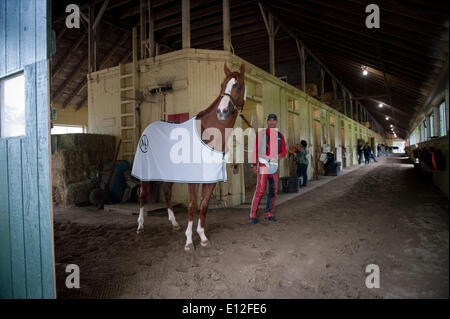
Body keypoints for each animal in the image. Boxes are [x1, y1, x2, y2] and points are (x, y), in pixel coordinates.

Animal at [132, 63, 248, 252]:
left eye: (238, 86)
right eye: (222, 85)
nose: (222, 111)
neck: (208, 134)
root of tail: (148, 128)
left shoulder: (211, 178)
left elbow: (204, 205)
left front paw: (203, 237)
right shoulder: (193, 179)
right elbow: (193, 206)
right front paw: (188, 242)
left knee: (167, 193)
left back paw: (174, 224)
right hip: (145, 173)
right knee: (142, 195)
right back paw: (140, 226)